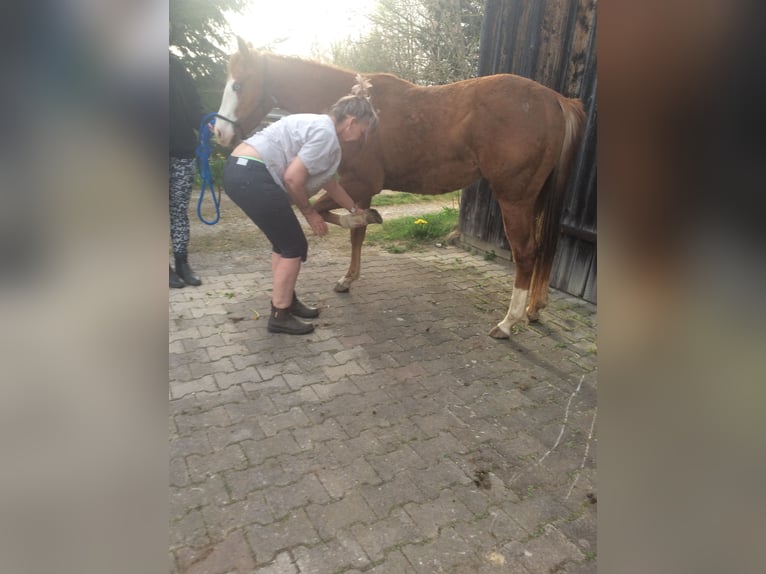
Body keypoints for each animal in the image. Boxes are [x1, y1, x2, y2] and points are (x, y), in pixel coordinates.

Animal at [213, 38, 584, 340]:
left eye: (239, 85)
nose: (219, 133)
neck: (358, 108)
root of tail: (555, 99)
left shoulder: (359, 183)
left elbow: (319, 210)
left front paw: (358, 227)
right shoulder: (359, 189)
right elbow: (356, 233)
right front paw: (349, 276)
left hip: (514, 198)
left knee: (526, 253)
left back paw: (508, 323)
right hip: (534, 198)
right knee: (542, 250)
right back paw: (533, 310)